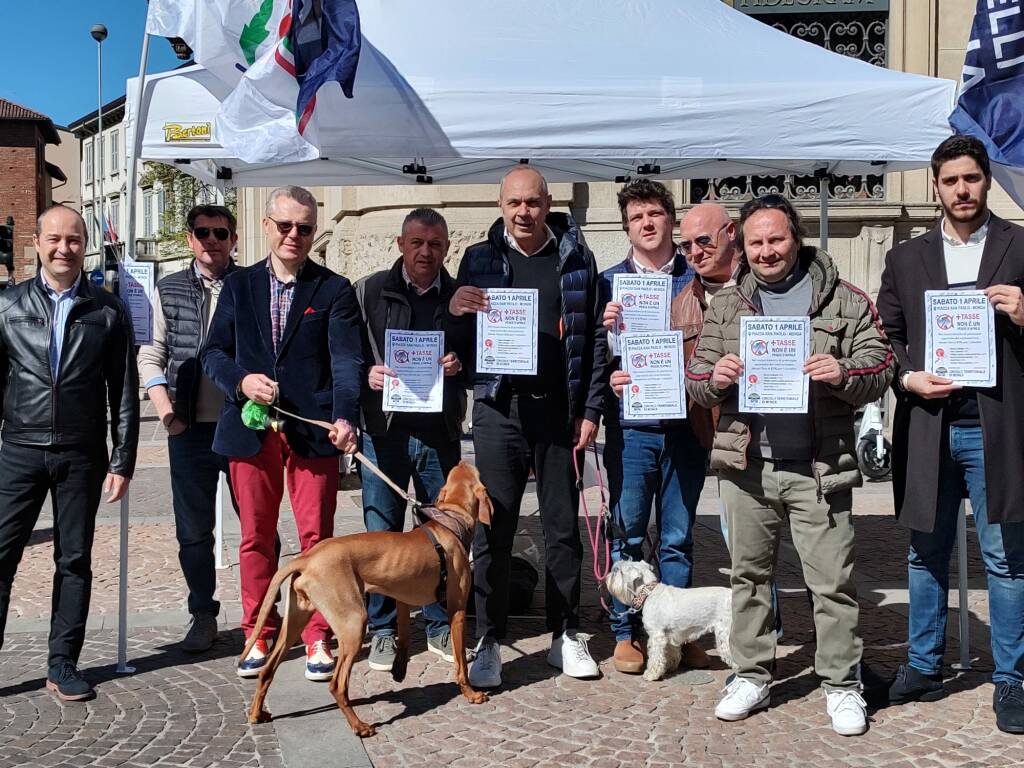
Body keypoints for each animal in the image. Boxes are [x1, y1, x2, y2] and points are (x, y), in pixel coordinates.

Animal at [241, 460, 493, 737]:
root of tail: (307, 558)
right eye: (474, 471)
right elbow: (461, 663)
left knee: (267, 671)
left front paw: (399, 669)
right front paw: (471, 693)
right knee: (337, 685)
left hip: (296, 620)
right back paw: (359, 726)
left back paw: (256, 713)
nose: (461, 460)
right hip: (353, 623)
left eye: (455, 472)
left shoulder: (401, 597)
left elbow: (404, 637)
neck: (450, 521)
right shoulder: (456, 610)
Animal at [602, 561, 733, 684]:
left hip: (725, 634)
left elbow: (655, 656)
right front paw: (668, 667)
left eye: (619, 571)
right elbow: (670, 653)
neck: (648, 592)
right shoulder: (670, 635)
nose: (607, 577)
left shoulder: (656, 635)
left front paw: (651, 674)